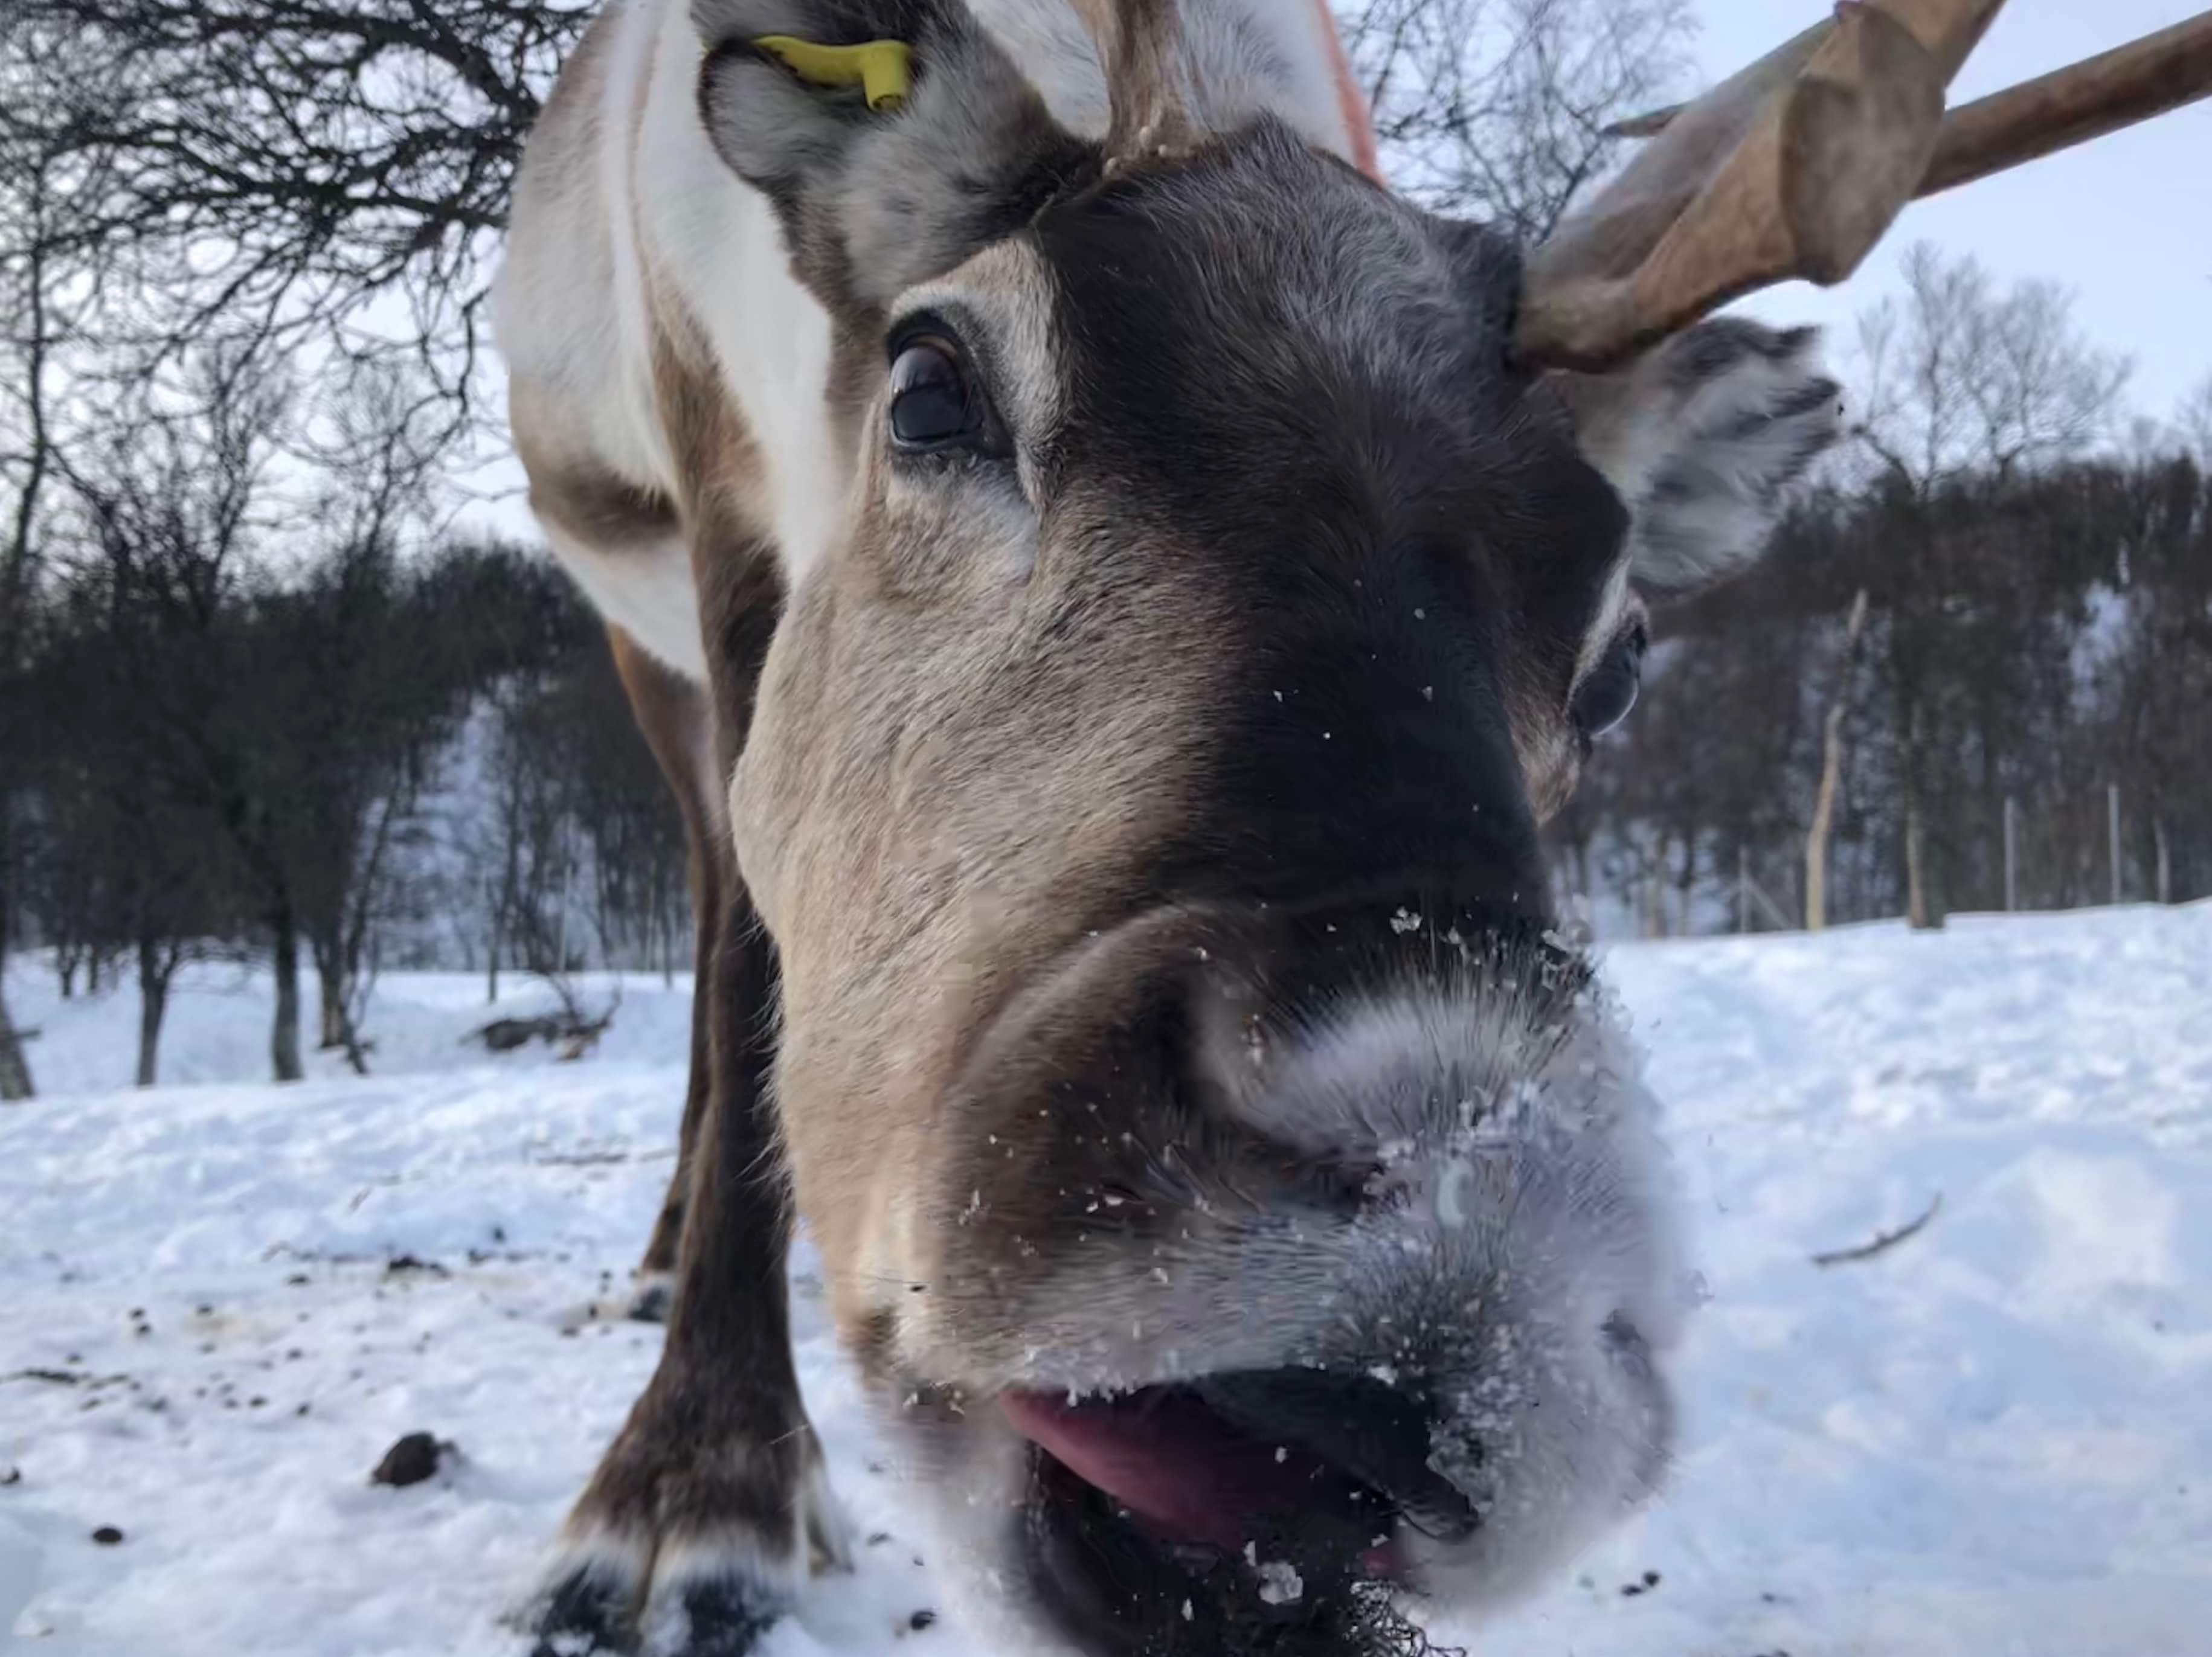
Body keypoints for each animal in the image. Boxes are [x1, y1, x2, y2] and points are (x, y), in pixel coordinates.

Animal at [492, 1, 2212, 1652]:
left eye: (1620, 656)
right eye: (928, 386)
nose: (1461, 1205)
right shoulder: (722, 519)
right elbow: (745, 978)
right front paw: (687, 1509)